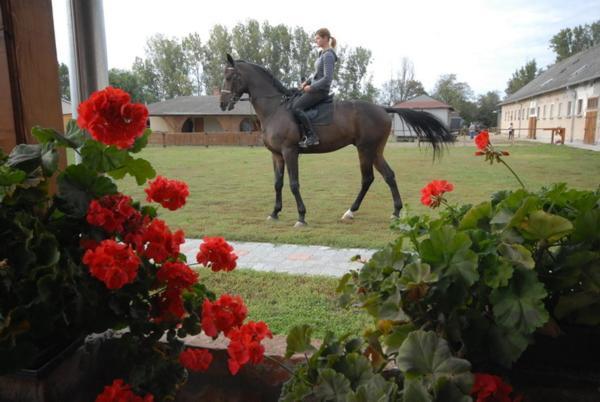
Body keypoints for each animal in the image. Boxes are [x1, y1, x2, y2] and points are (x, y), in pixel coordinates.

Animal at [220, 54, 454, 226]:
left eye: (231, 77)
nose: (223, 104)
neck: (276, 109)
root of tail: (382, 108)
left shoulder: (290, 152)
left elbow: (294, 184)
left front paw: (301, 216)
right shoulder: (277, 155)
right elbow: (278, 183)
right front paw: (275, 213)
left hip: (365, 149)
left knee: (368, 178)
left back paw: (352, 211)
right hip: (375, 151)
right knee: (388, 175)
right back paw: (392, 212)